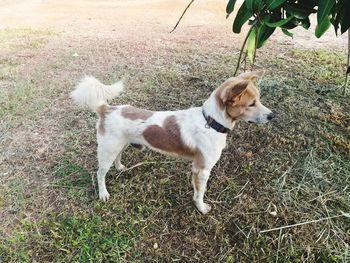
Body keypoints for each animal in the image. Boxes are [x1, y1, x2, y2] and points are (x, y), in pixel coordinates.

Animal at [70, 71, 274, 214]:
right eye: (251, 104)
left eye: (259, 100)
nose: (273, 115)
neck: (210, 122)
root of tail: (106, 108)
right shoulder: (202, 170)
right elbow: (201, 192)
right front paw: (201, 208)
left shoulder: (197, 169)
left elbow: (196, 190)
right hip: (107, 151)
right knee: (100, 173)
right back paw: (103, 193)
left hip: (121, 144)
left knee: (118, 156)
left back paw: (120, 167)